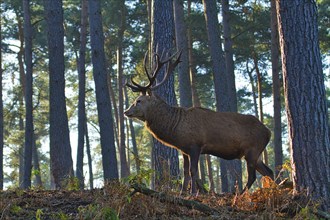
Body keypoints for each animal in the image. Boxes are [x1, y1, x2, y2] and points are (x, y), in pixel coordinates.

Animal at [124, 50, 274, 194]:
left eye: (138, 101)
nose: (126, 111)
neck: (176, 128)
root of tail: (268, 132)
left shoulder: (195, 145)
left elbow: (193, 171)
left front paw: (193, 193)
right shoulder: (184, 150)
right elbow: (185, 172)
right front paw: (182, 192)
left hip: (252, 150)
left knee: (253, 176)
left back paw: (239, 194)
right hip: (257, 154)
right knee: (269, 172)